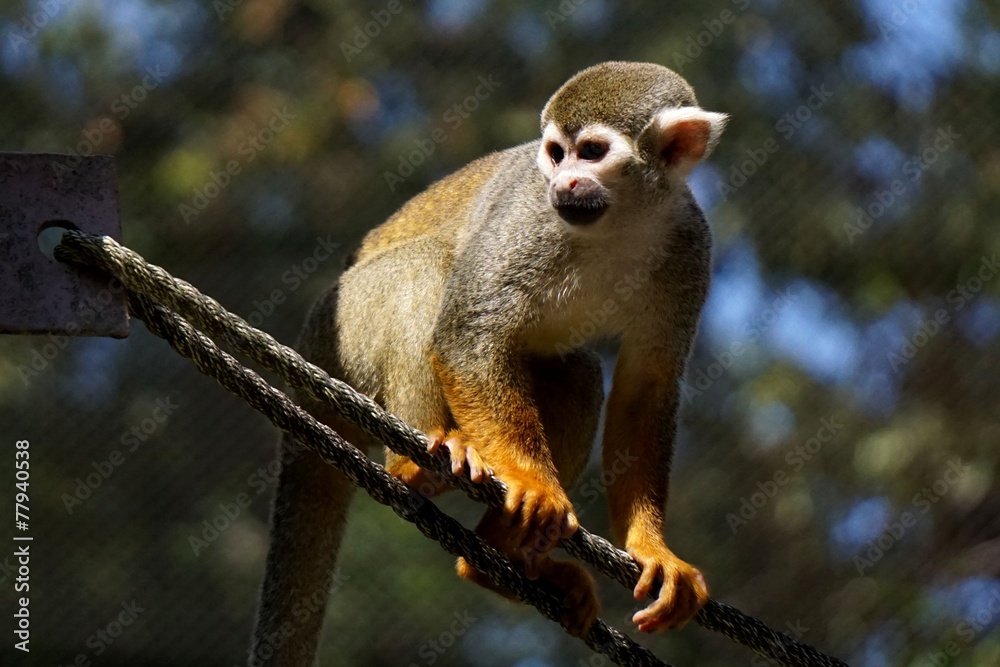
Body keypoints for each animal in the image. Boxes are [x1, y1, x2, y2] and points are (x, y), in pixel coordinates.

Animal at [249, 61, 727, 665]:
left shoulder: (690, 244)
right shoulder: (527, 218)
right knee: (425, 268)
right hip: (345, 323)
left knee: (577, 374)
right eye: (556, 153)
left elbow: (646, 388)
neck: (619, 221)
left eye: (592, 152)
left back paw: (499, 561)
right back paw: (419, 466)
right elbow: (466, 331)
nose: (563, 183)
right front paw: (534, 483)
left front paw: (651, 548)